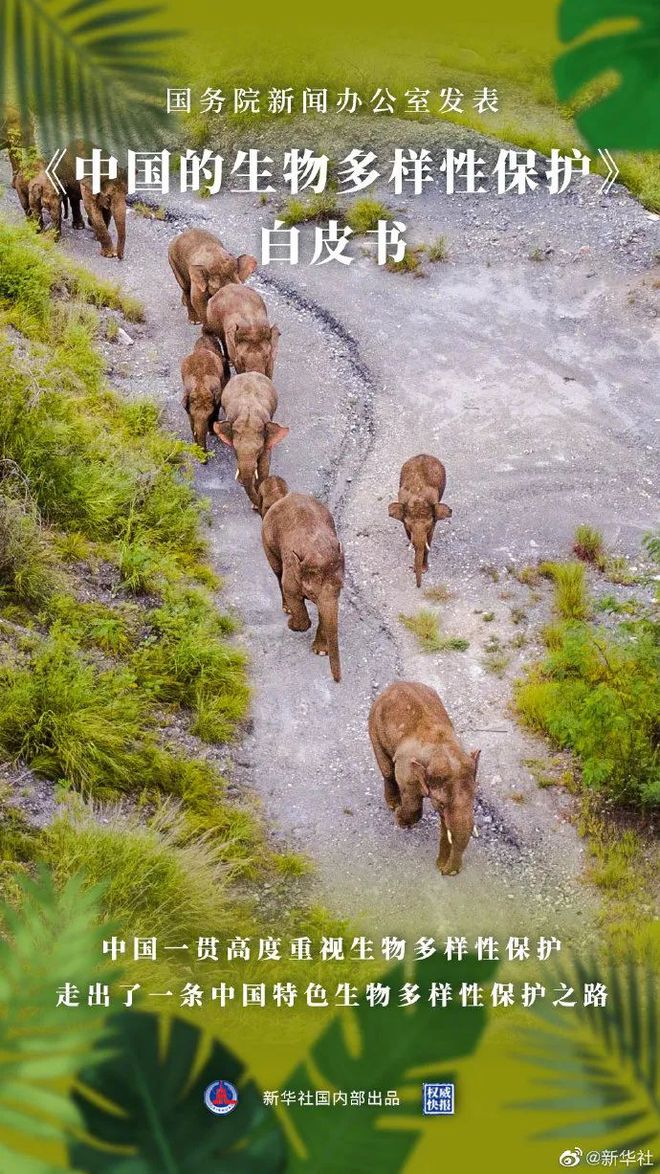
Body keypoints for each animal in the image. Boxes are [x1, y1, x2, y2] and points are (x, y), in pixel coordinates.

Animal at [258, 474, 345, 685]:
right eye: (311, 593)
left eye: (341, 588)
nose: (337, 680)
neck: (317, 550)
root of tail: (285, 496)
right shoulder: (293, 570)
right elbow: (291, 591)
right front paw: (293, 624)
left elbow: (325, 610)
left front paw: (320, 651)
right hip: (267, 541)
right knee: (277, 572)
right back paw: (287, 609)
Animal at [364, 680, 476, 873]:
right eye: (441, 803)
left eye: (474, 799)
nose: (447, 873)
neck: (442, 749)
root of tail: (394, 684)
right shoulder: (407, 771)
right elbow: (413, 804)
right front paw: (400, 818)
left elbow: (445, 824)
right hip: (374, 724)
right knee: (387, 769)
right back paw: (393, 804)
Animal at [387, 455, 448, 587]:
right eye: (409, 526)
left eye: (428, 527)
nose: (418, 586)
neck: (418, 497)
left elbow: (428, 538)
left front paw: (423, 570)